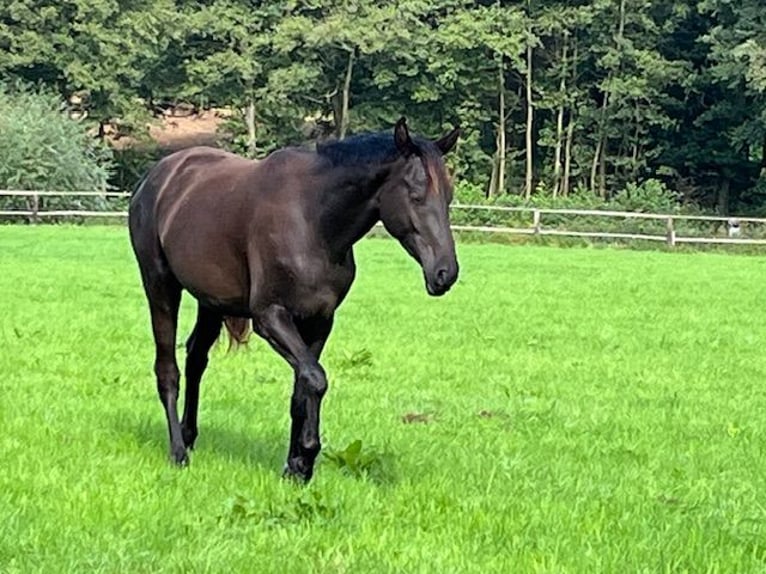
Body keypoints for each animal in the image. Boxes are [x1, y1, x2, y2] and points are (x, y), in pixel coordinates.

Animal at [129, 117, 460, 482]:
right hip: (160, 286)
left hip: (211, 302)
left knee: (196, 358)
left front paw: (295, 465)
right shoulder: (270, 317)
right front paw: (306, 456)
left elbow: (302, 389)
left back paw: (189, 437)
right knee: (168, 370)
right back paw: (177, 452)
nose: (445, 273)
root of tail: (155, 179)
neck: (314, 223)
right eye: (415, 195)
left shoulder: (319, 321)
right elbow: (315, 379)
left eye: (449, 196)